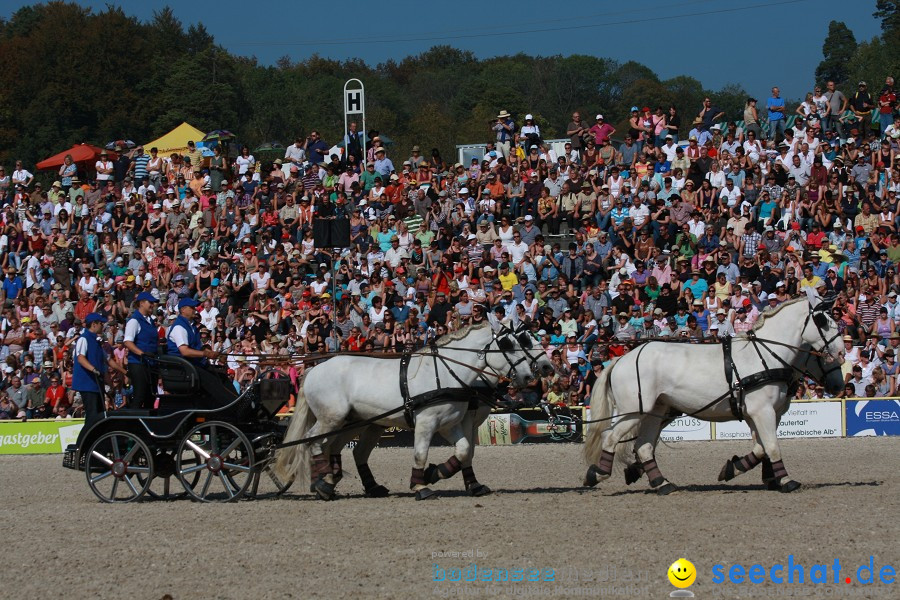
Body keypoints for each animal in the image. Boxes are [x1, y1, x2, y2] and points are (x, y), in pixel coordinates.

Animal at [274, 322, 556, 500]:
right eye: (511, 344)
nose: (540, 370)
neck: (450, 373)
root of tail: (314, 369)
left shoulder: (451, 423)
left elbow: (465, 451)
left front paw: (442, 475)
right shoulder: (427, 423)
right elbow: (421, 454)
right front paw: (421, 485)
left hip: (355, 422)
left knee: (341, 449)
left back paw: (347, 483)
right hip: (331, 418)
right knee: (314, 443)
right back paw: (322, 483)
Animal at [584, 292, 844, 494]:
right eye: (822, 320)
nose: (841, 353)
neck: (766, 356)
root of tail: (621, 359)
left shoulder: (761, 414)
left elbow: (761, 448)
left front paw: (736, 469)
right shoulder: (762, 411)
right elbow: (771, 446)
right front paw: (786, 481)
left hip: (654, 411)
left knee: (644, 446)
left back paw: (661, 483)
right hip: (634, 412)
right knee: (611, 438)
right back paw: (597, 474)